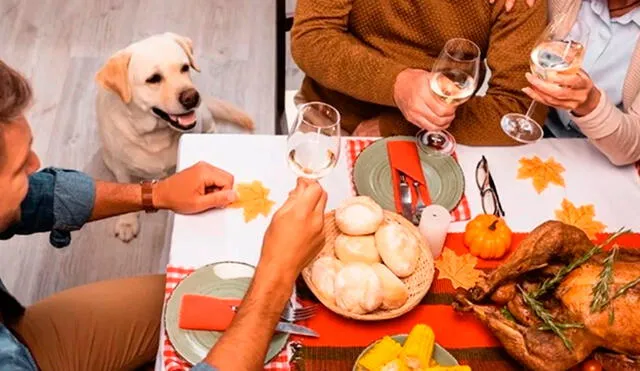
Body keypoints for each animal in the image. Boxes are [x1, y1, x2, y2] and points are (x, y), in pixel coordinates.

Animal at [96, 32, 254, 244]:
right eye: (153, 79)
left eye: (185, 67)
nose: (192, 97)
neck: (155, 135)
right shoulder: (121, 166)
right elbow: (124, 185)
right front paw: (127, 222)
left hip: (205, 116)